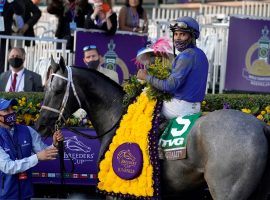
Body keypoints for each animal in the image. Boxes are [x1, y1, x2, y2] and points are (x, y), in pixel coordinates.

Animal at [35, 59, 270, 200]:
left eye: (57, 90)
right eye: (45, 88)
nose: (40, 125)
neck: (117, 116)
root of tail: (260, 126)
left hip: (226, 191)